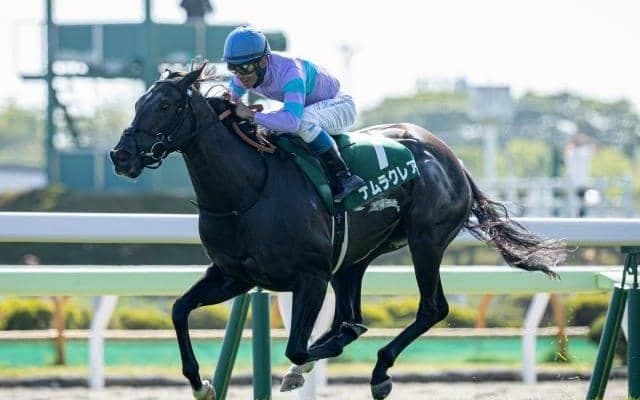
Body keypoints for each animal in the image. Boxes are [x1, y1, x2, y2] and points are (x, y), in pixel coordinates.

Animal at [110, 65, 566, 400]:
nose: (121, 155)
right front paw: (200, 382)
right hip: (356, 257)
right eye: (137, 102)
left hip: (426, 241)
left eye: (165, 104)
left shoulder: (309, 276)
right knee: (354, 309)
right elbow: (179, 309)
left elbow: (298, 346)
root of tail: (448, 155)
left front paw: (308, 362)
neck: (248, 190)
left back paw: (379, 370)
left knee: (431, 309)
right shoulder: (233, 275)